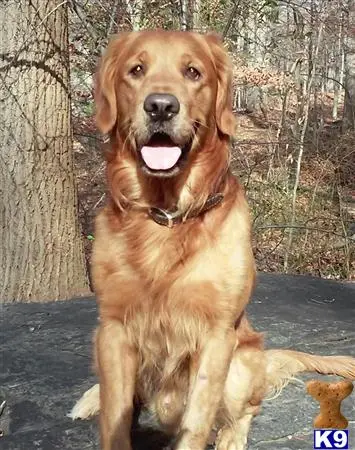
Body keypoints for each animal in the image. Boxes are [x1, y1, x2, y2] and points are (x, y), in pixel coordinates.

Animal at [70, 29, 355, 450]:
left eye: (193, 72)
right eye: (136, 70)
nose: (160, 107)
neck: (167, 215)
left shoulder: (217, 334)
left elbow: (197, 419)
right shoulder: (114, 327)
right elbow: (116, 416)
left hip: (242, 363)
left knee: (246, 408)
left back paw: (232, 438)